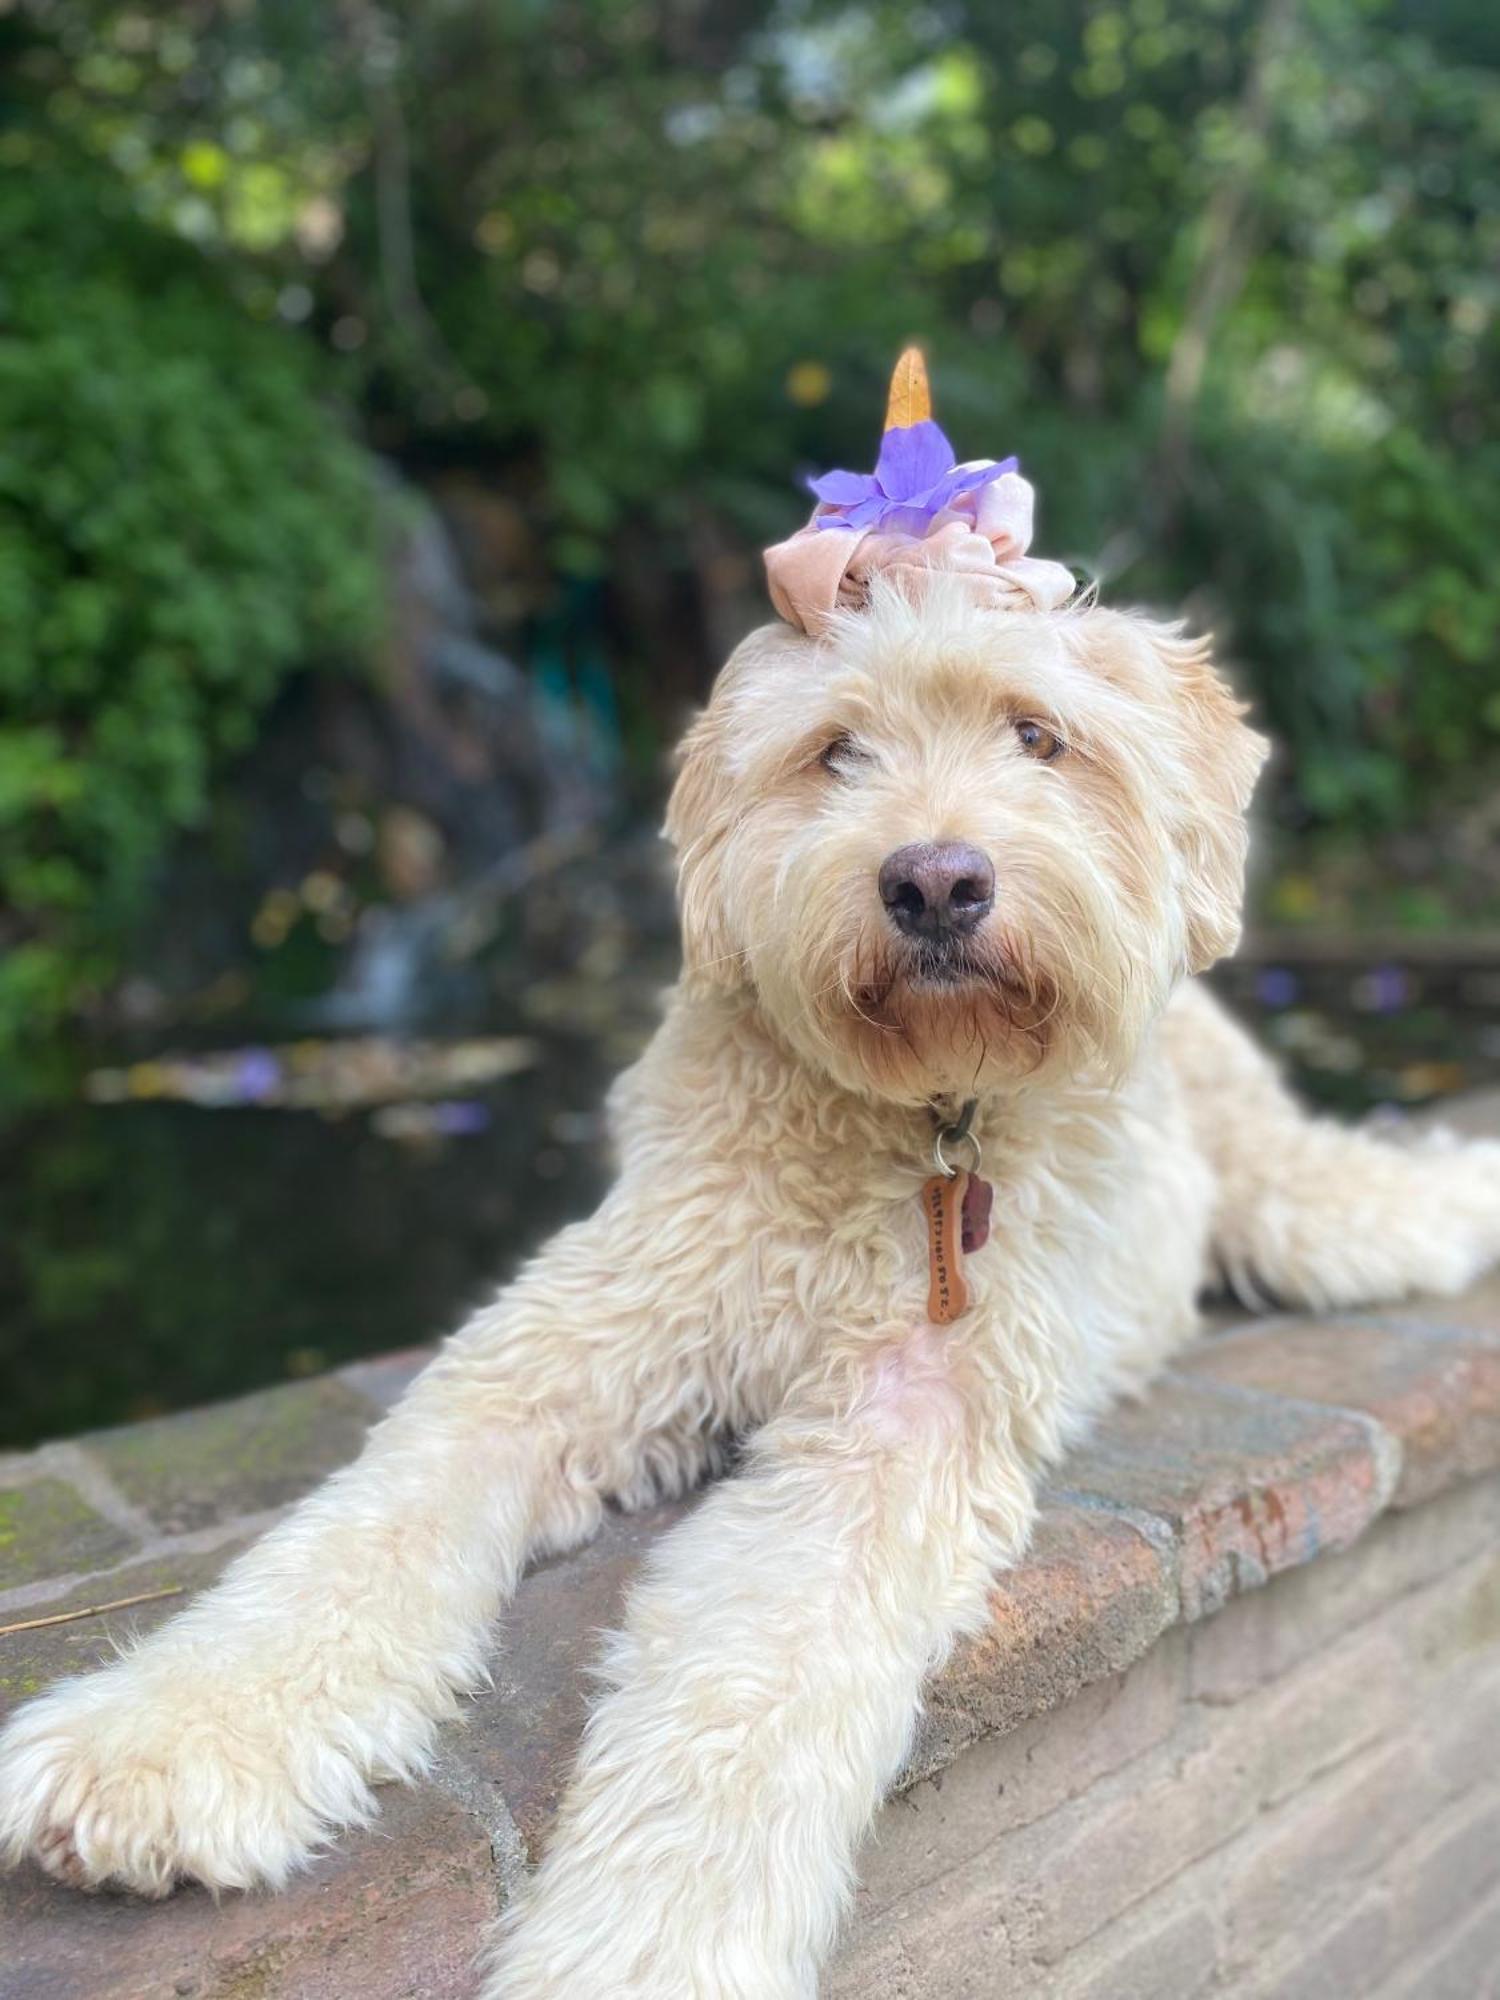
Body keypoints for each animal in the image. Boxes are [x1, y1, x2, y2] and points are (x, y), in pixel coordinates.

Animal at [8, 376, 1500, 2000]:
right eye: (836, 749)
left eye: (1038, 734)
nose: (935, 881)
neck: (902, 1129)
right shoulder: (560, 1345)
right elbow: (351, 1543)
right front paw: (161, 1743)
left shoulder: (894, 1434)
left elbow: (750, 1692)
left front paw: (647, 1949)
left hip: (1301, 1206)